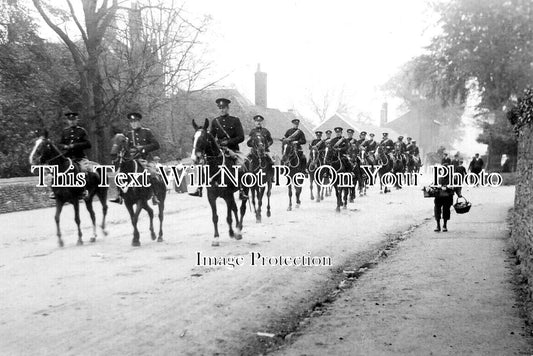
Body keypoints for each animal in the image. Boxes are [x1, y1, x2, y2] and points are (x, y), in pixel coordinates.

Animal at [191, 118, 249, 246]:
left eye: (203, 138)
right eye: (193, 138)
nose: (195, 158)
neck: (216, 168)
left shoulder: (227, 195)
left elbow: (228, 216)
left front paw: (233, 233)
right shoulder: (211, 196)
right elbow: (215, 217)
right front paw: (216, 238)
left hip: (245, 190)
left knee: (242, 209)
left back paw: (238, 230)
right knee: (235, 208)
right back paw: (235, 229)